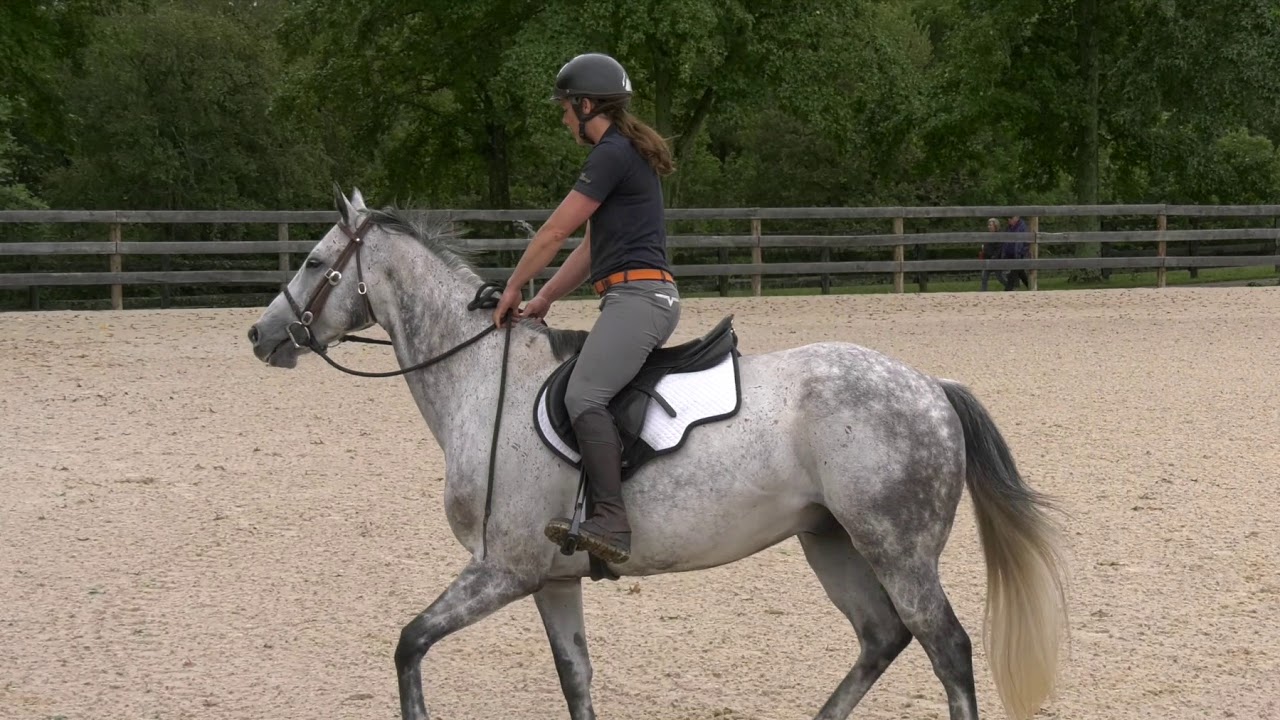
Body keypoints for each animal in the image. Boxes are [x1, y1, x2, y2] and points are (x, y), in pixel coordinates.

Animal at [245, 188, 1069, 720]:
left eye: (315, 262)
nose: (260, 334)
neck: (483, 378)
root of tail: (930, 386)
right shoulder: (551, 580)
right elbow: (576, 680)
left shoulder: (503, 570)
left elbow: (409, 645)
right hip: (831, 540)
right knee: (882, 638)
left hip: (897, 546)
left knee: (946, 647)